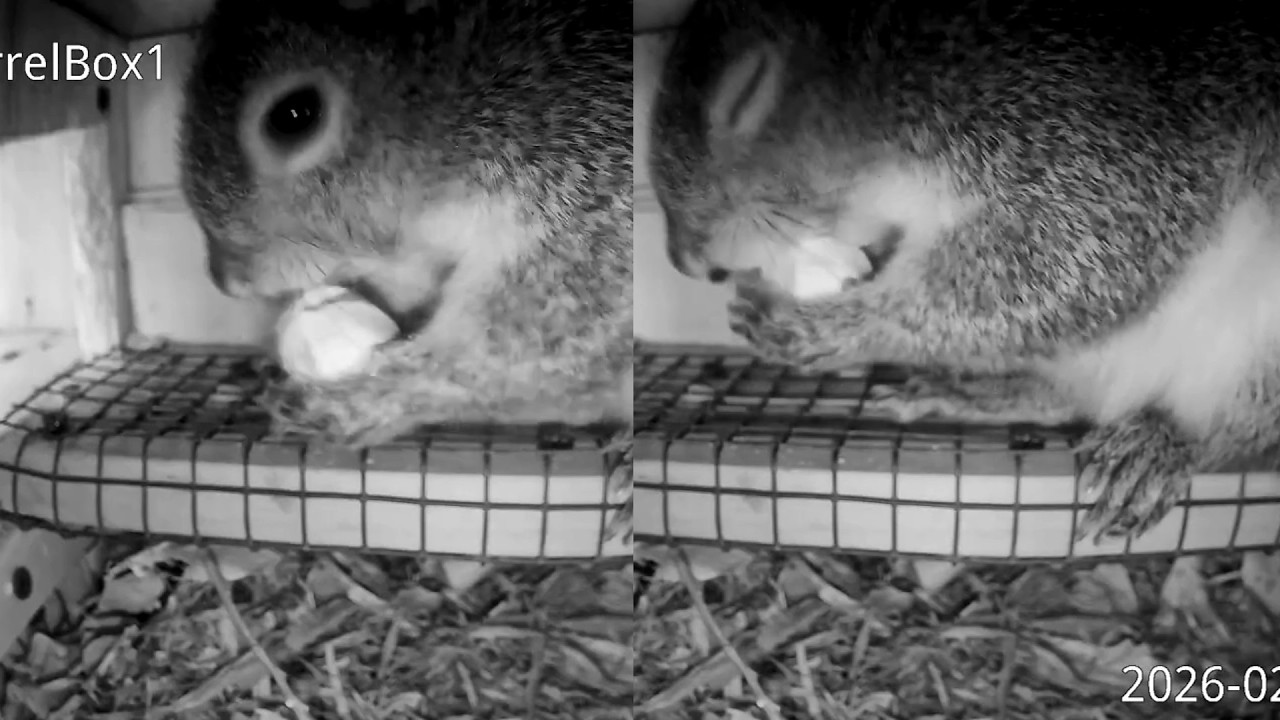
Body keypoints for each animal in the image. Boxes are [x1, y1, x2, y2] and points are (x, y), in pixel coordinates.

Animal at [648, 0, 1280, 543]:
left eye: (743, 95)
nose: (686, 261)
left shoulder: (1093, 147)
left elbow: (1067, 266)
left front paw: (834, 326)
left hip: (1261, 352)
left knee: (1235, 432)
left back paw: (1161, 446)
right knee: (1068, 400)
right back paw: (968, 392)